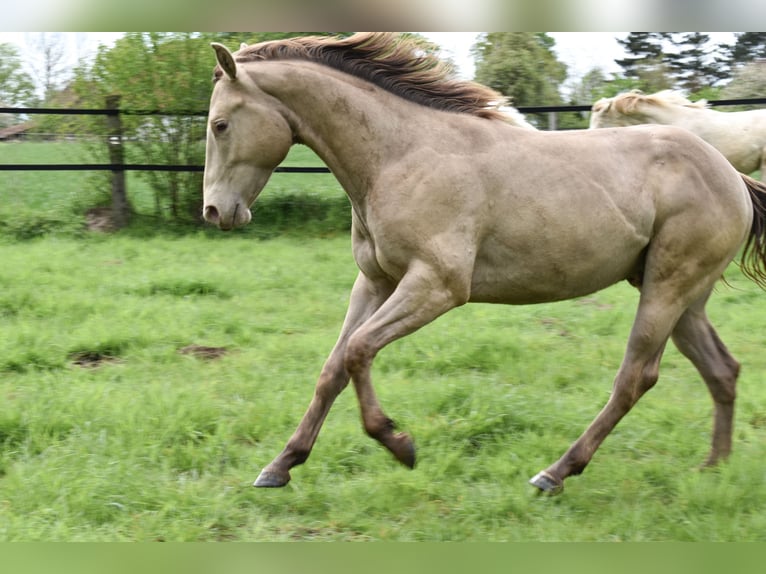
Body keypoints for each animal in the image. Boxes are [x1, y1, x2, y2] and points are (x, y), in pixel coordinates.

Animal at [202, 32, 766, 496]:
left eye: (220, 124)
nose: (215, 212)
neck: (401, 155)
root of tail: (733, 178)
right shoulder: (375, 282)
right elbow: (333, 367)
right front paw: (280, 465)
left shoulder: (437, 286)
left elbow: (359, 351)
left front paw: (400, 444)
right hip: (681, 296)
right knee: (721, 369)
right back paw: (713, 469)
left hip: (667, 288)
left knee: (635, 377)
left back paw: (555, 473)